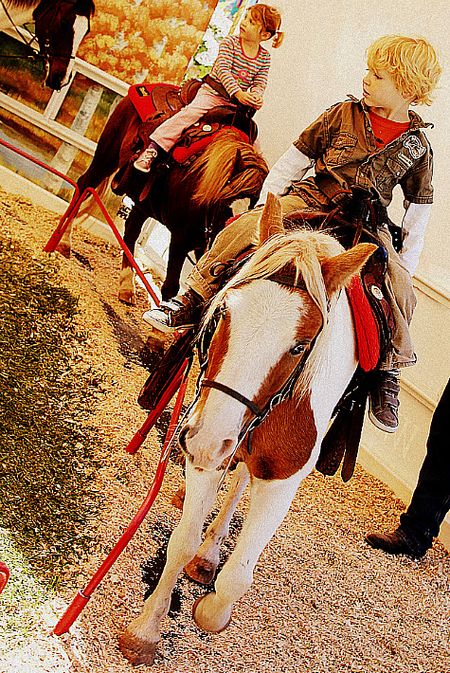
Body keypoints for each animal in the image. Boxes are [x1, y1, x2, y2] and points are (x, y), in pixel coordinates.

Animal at [55, 93, 268, 304]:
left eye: (254, 207)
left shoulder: (206, 250)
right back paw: (63, 242)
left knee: (130, 232)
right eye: (225, 203)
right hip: (106, 156)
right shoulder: (180, 240)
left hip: (142, 204)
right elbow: (171, 287)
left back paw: (127, 286)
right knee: (84, 185)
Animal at [117, 193, 376, 660]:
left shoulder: (280, 478)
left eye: (299, 346)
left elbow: (238, 575)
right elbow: (181, 541)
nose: (205, 440)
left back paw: (211, 554)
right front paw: (146, 629)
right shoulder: (208, 444)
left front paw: (212, 610)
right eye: (222, 313)